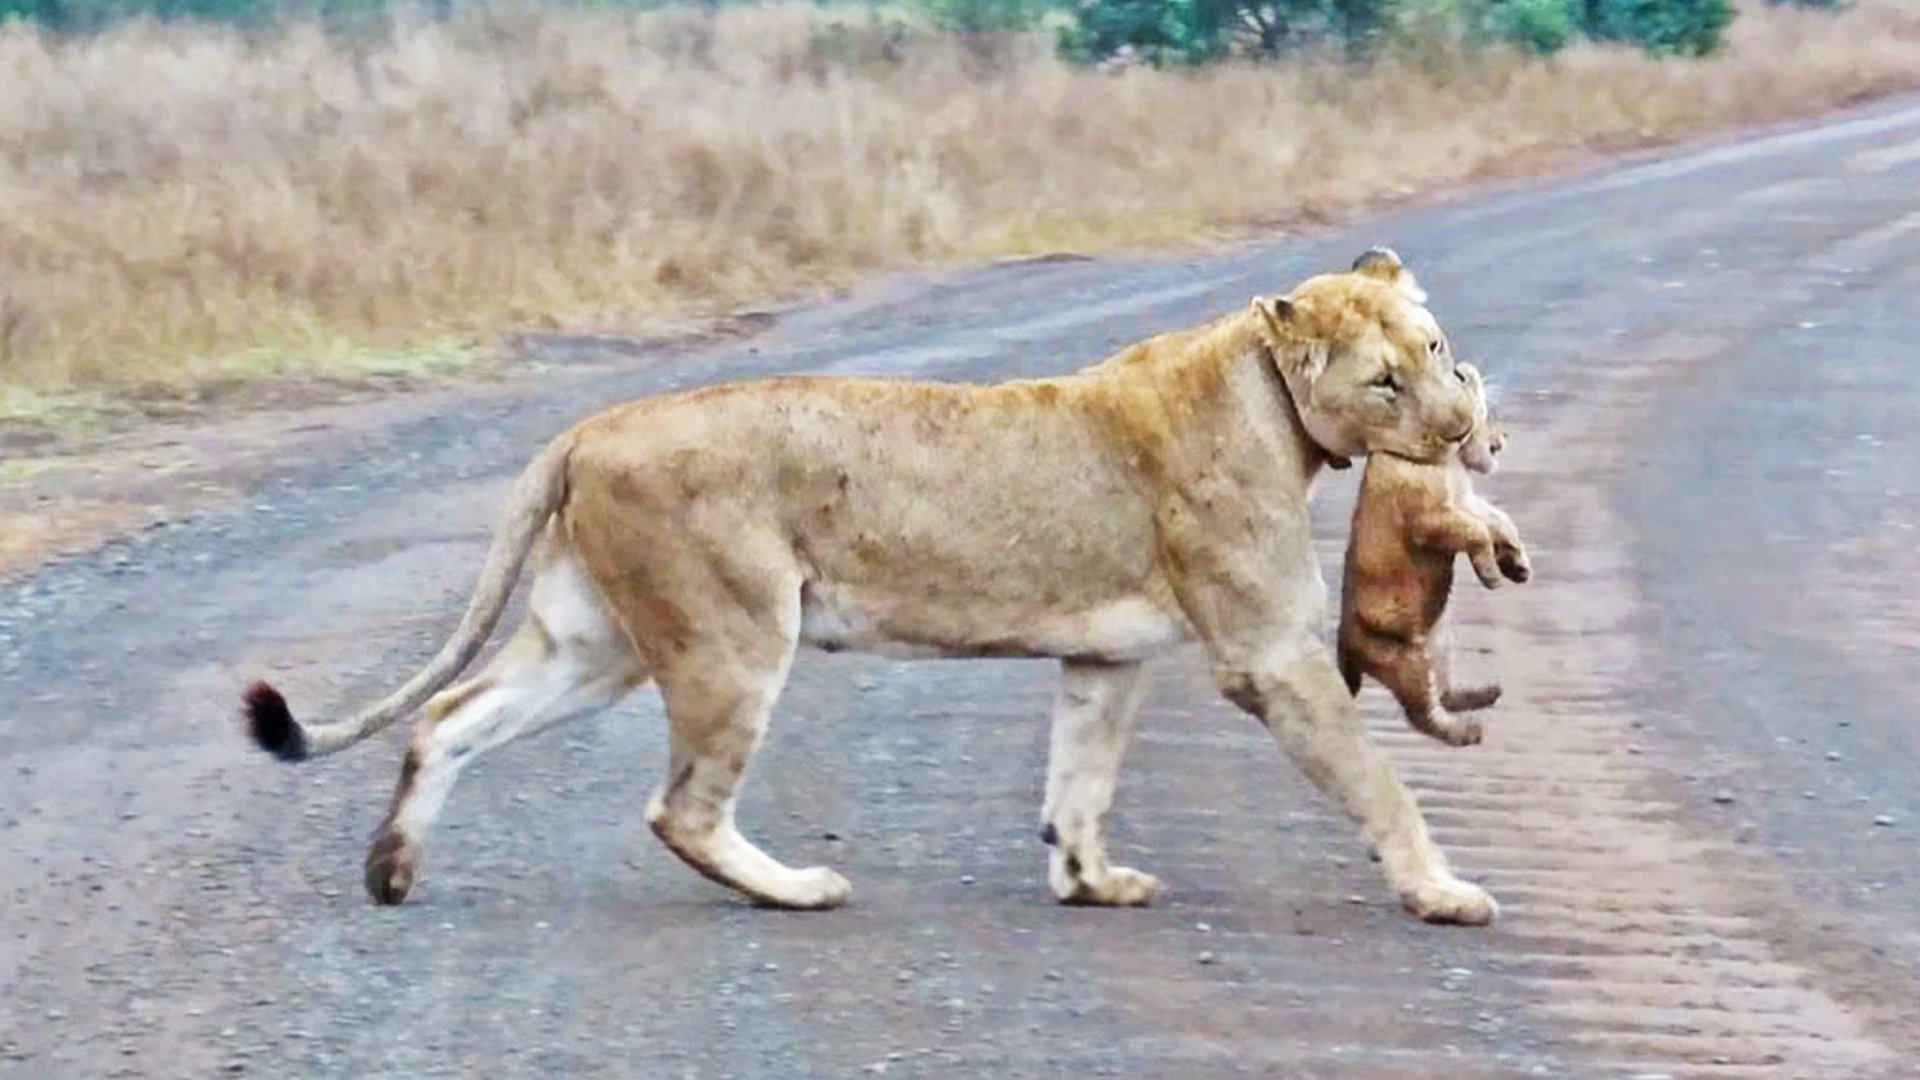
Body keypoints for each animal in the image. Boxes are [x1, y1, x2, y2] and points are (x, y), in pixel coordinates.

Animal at [242, 247, 1501, 926]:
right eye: (1386, 382)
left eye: (1436, 351)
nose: (1458, 430)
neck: (1265, 397)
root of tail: (592, 425)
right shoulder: (1270, 655)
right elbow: (1377, 780)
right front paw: (1443, 893)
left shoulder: (1104, 656)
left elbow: (1079, 781)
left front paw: (1089, 881)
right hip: (733, 634)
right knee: (680, 807)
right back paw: (794, 890)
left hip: (593, 644)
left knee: (449, 720)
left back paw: (392, 868)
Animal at [1336, 362, 1530, 749]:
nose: (1506, 434)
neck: (1451, 460)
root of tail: (1343, 642)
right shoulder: (1431, 519)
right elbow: (1477, 532)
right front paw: (1492, 575)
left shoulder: (1467, 501)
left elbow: (1498, 519)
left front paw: (1517, 565)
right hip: (1409, 662)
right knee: (1423, 715)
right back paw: (1468, 731)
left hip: (1440, 643)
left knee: (1445, 694)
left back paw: (1486, 693)